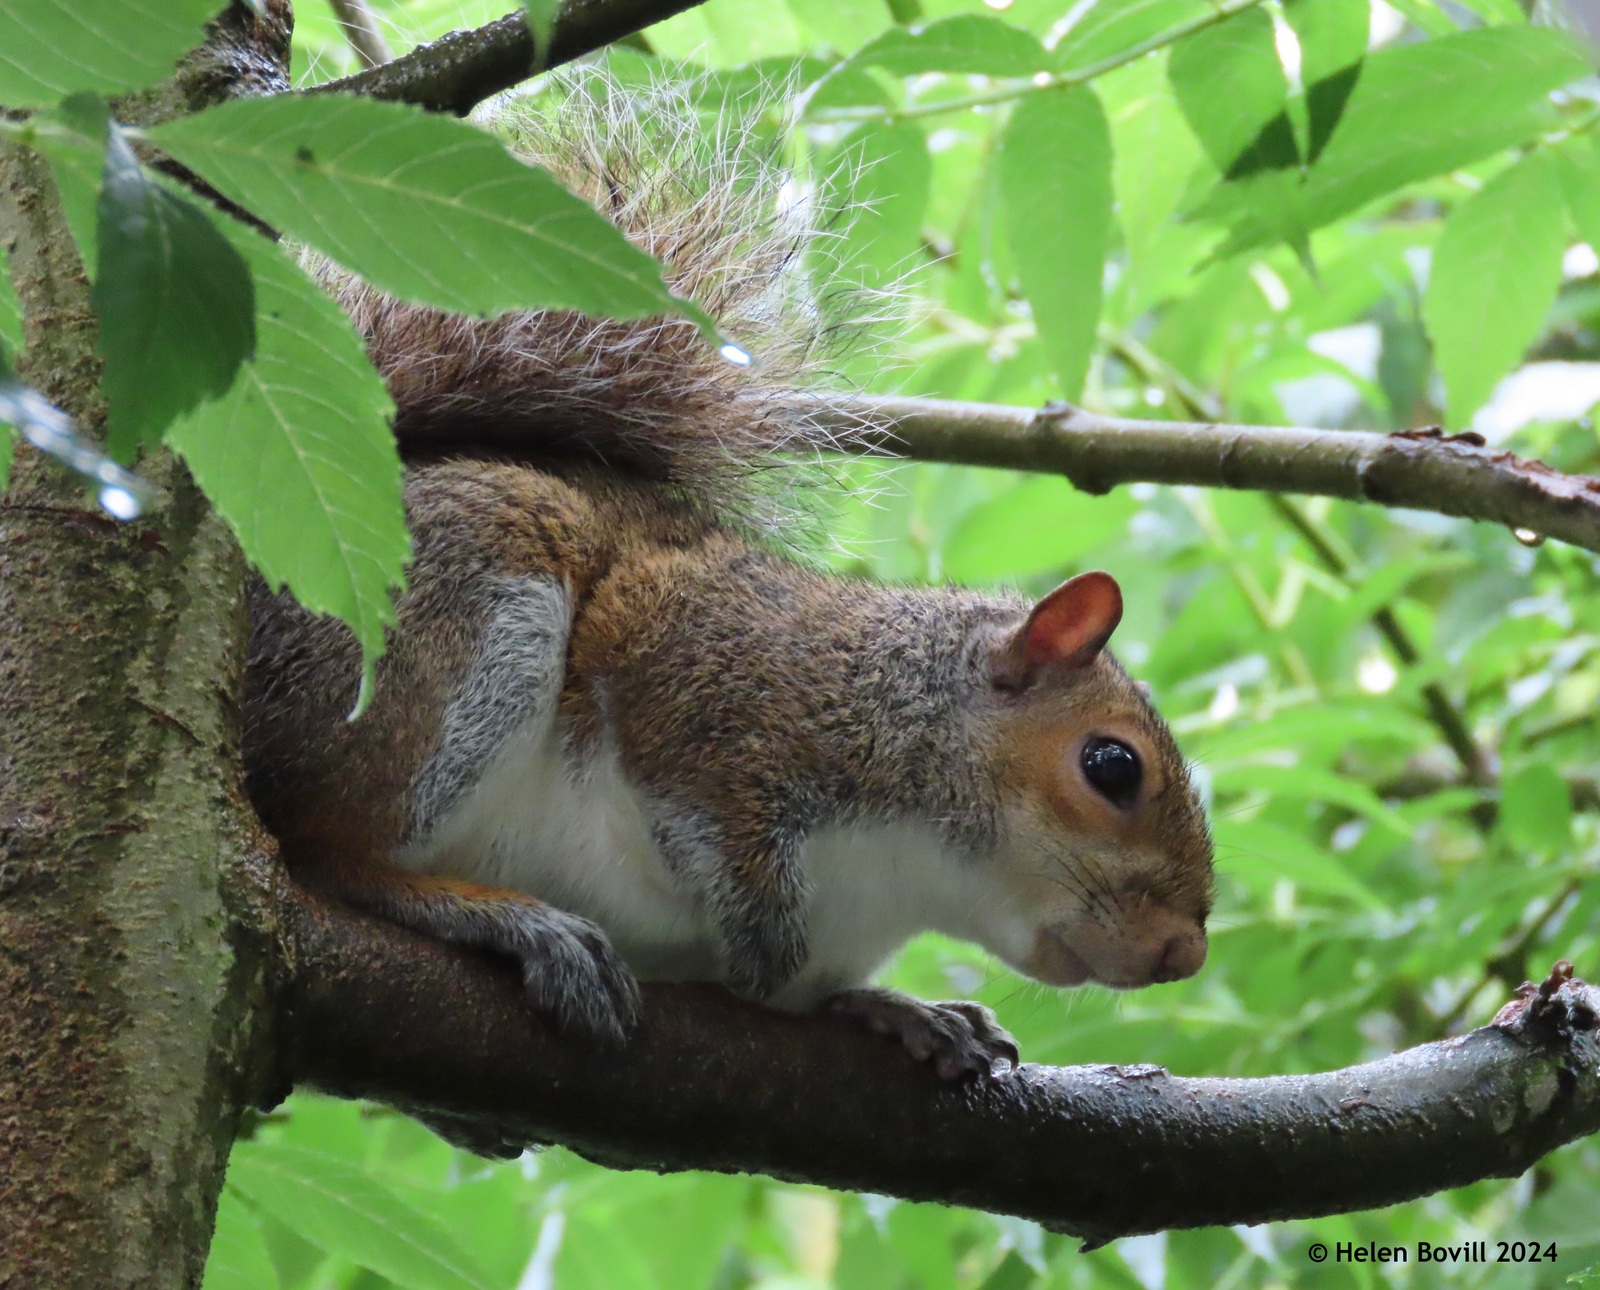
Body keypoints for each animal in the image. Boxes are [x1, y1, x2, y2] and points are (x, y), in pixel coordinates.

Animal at [243, 73, 1209, 1088]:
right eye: (1112, 766)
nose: (1185, 951)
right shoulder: (702, 657)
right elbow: (695, 800)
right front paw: (763, 938)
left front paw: (901, 1011)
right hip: (455, 601)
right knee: (324, 850)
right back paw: (506, 918)